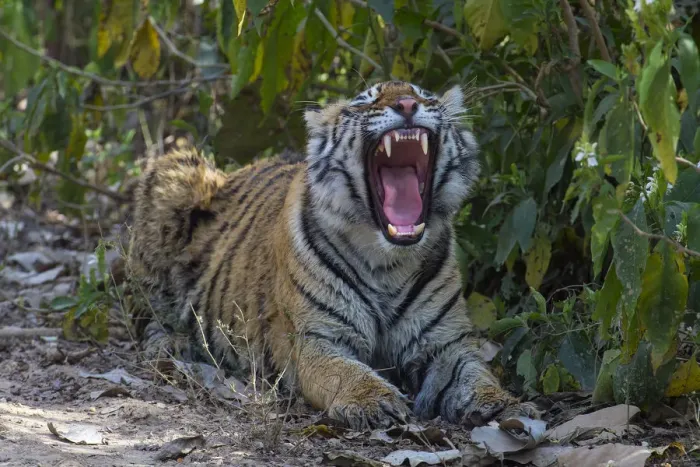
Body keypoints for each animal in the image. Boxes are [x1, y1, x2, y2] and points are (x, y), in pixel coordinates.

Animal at [127, 80, 539, 430]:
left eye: (424, 95)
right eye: (366, 100)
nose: (408, 105)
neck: (388, 261)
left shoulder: (446, 344)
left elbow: (476, 375)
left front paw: (505, 404)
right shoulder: (314, 339)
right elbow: (344, 372)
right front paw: (374, 401)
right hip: (175, 173)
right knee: (147, 315)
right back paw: (172, 345)